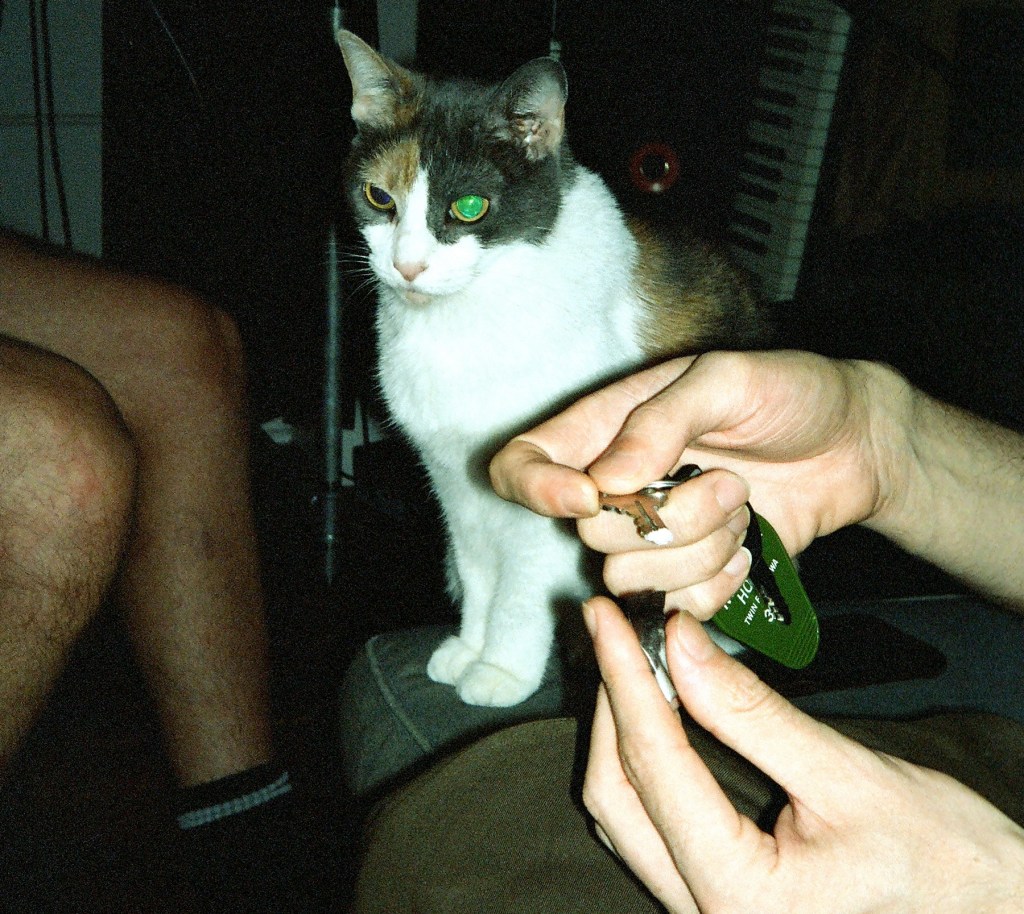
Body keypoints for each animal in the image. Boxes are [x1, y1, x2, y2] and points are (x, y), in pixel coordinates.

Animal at [335, 32, 770, 704]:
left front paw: (502, 668)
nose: (407, 267)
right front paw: (470, 646)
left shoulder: (549, 499)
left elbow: (522, 589)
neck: (467, 317)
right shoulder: (456, 485)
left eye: (468, 206)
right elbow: (477, 570)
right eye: (379, 197)